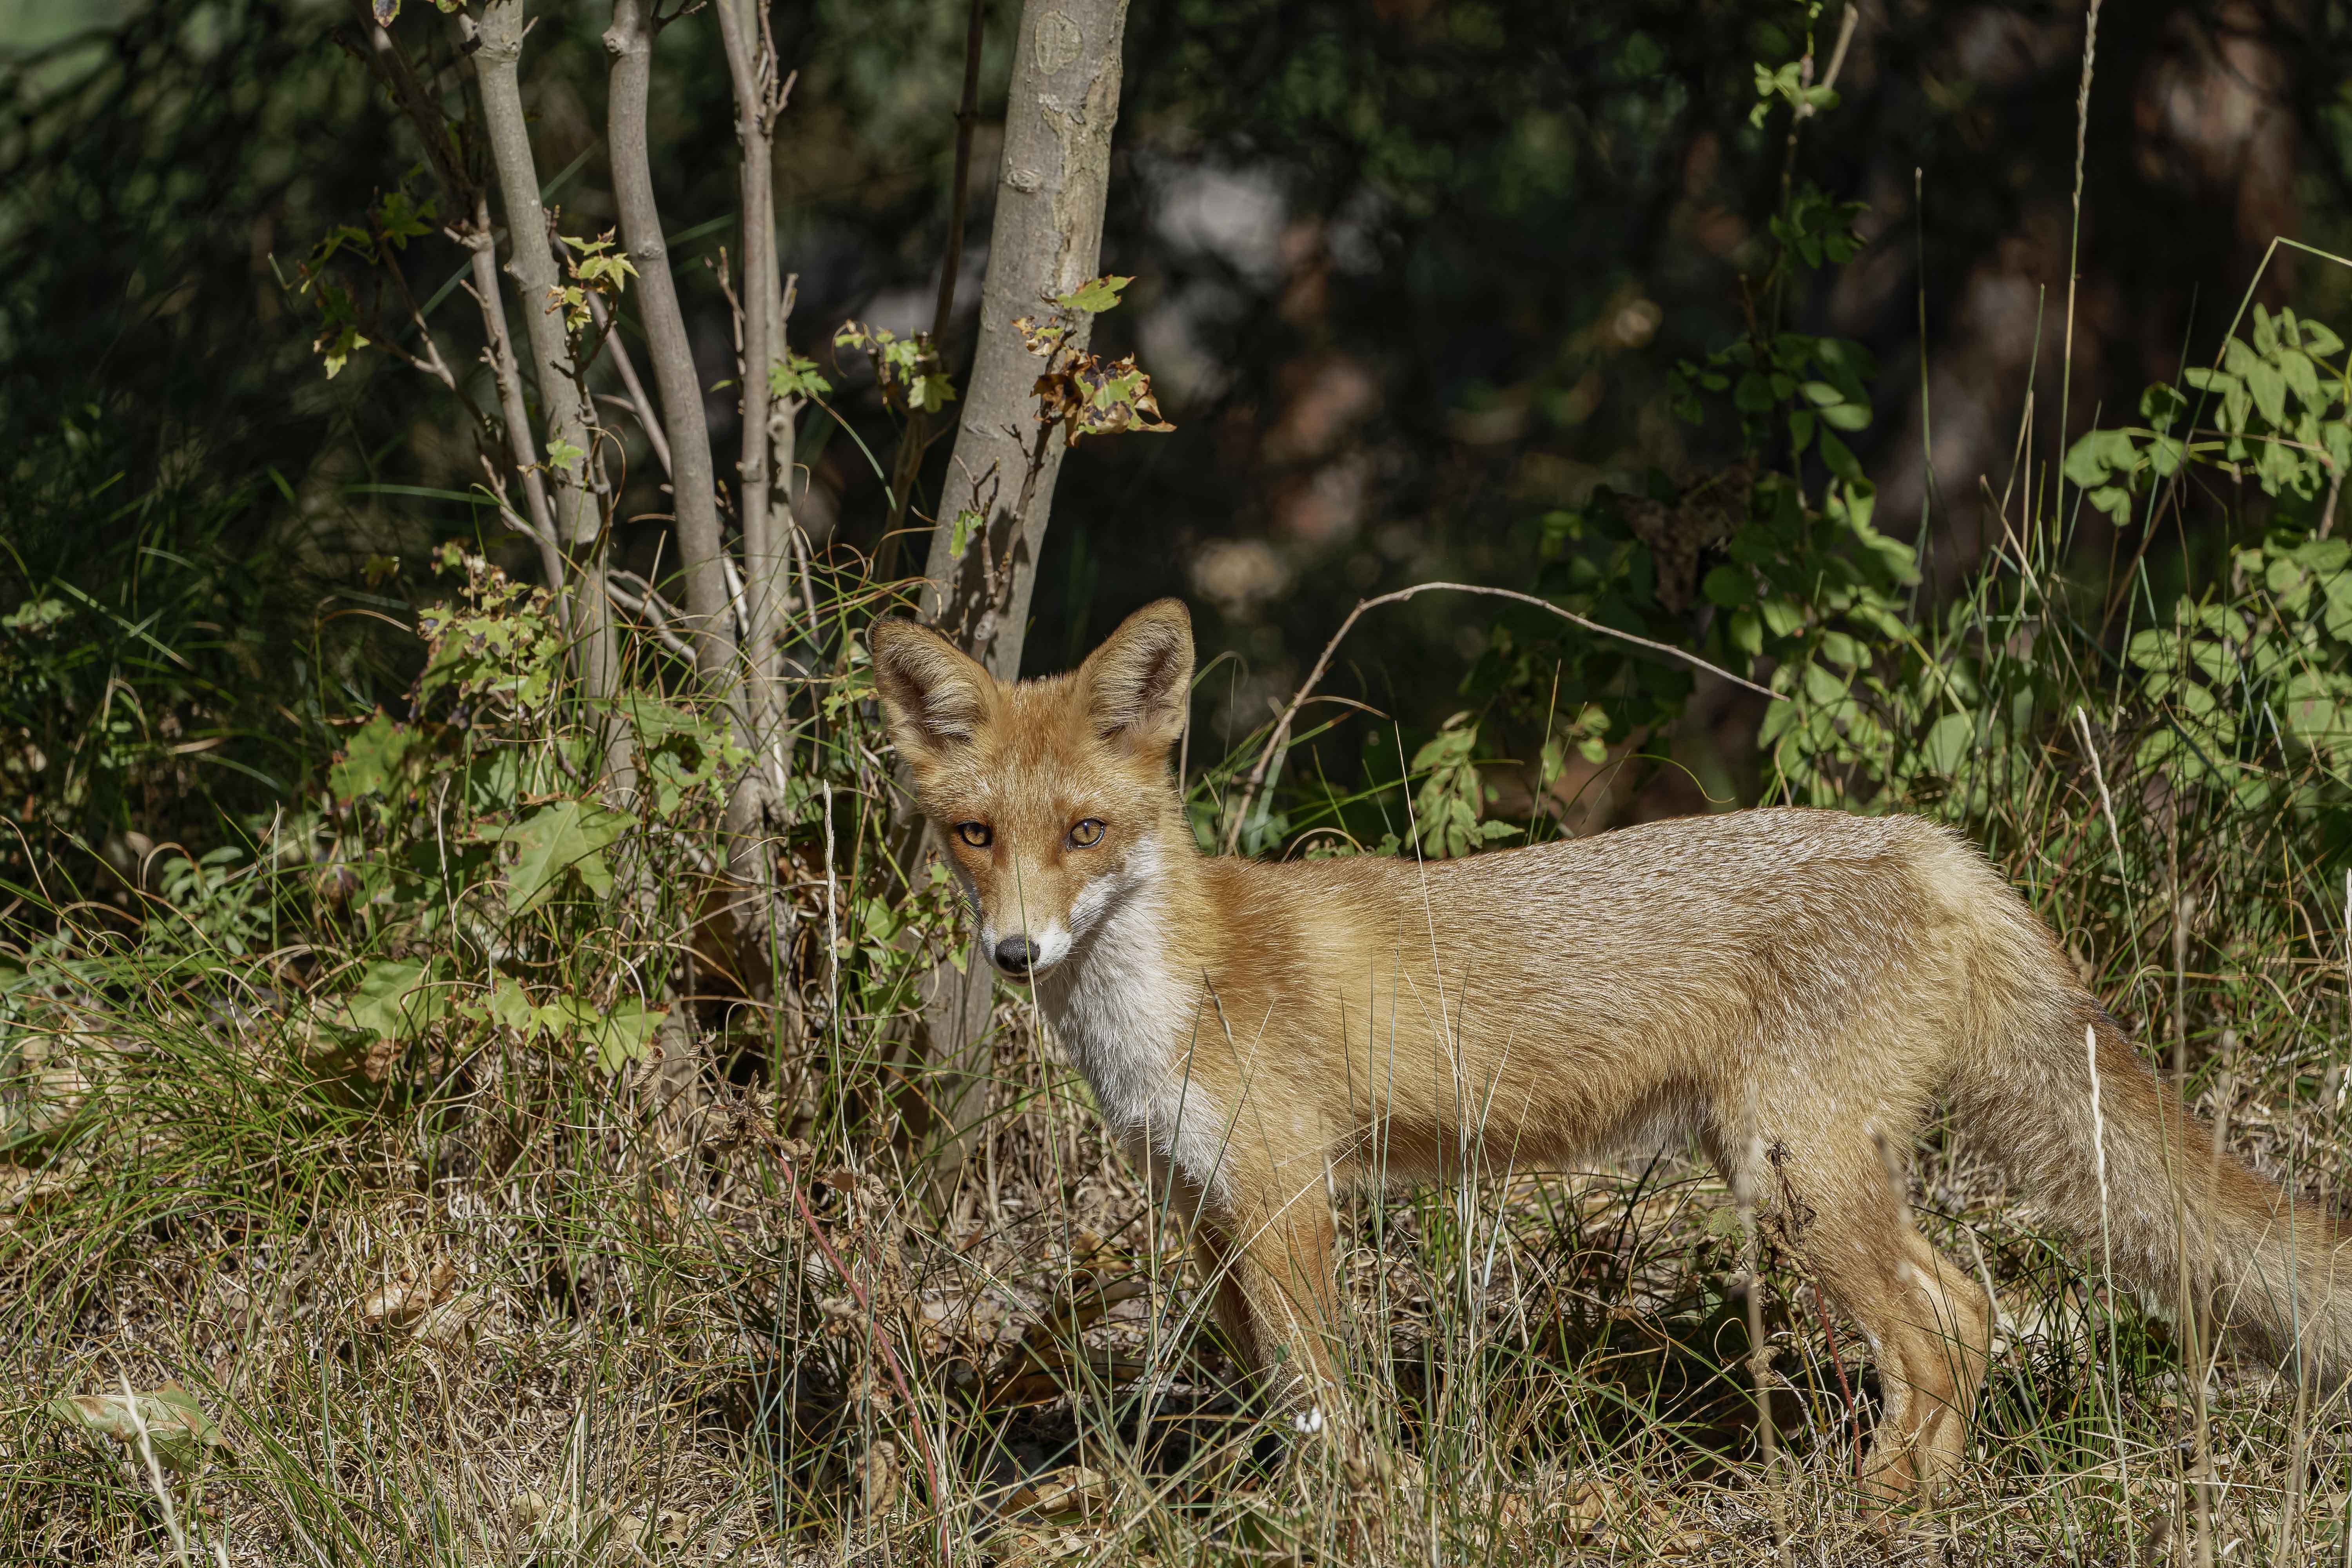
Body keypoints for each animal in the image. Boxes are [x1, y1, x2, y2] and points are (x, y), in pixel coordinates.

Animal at [869, 596, 2352, 1503]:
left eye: (1086, 832)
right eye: (975, 835)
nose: (1015, 956)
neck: (1174, 993)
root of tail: (1929, 842)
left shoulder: (1289, 1197)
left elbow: (1329, 1397)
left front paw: (1360, 1513)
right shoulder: (1204, 1208)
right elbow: (1285, 1401)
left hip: (1789, 1174)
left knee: (1936, 1333)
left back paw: (1877, 1512)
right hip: (1807, 1169)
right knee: (1968, 1312)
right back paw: (1926, 1497)